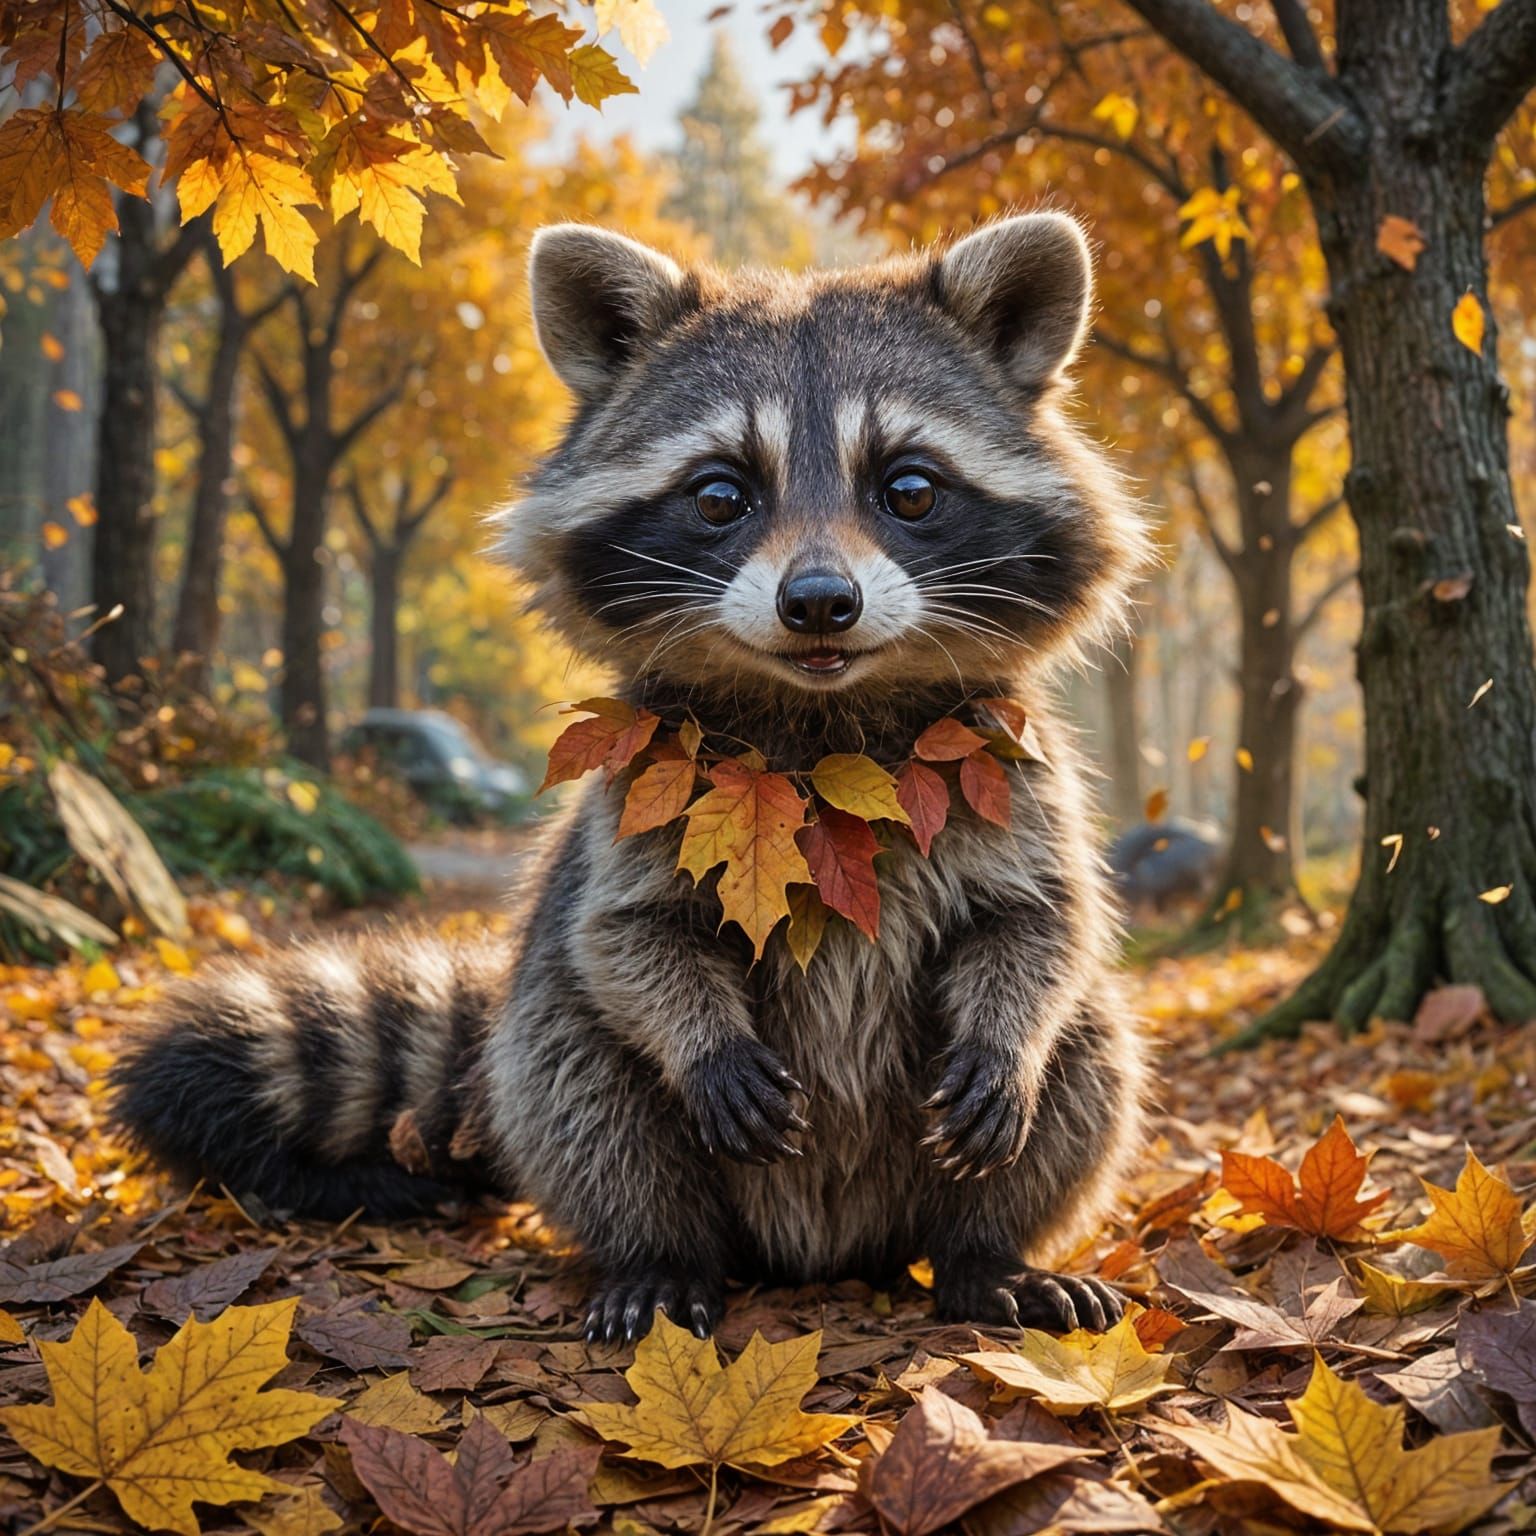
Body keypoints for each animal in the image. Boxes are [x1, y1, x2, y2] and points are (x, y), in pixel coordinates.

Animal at [113, 213, 1153, 1343]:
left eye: (909, 488)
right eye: (721, 494)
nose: (818, 602)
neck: (822, 731)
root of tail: (822, 1253)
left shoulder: (1017, 777)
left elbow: (1044, 925)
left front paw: (1011, 1035)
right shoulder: (639, 796)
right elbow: (624, 936)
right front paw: (697, 1039)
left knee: (1090, 1057)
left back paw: (983, 1252)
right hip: (565, 1070)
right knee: (580, 1082)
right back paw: (658, 1255)